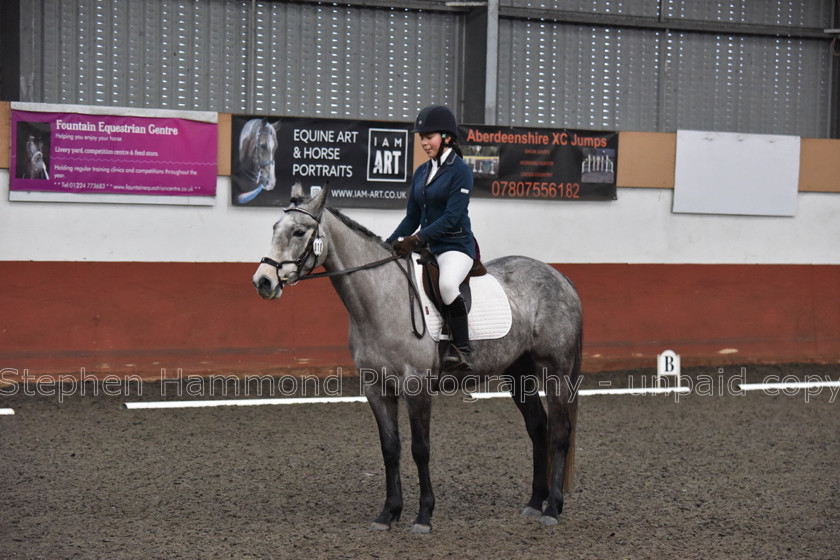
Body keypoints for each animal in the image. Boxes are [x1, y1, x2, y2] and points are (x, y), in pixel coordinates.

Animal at [254, 186, 584, 532]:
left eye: (299, 232)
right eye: (274, 228)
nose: (263, 281)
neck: (380, 300)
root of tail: (558, 275)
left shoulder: (416, 387)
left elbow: (420, 449)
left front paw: (424, 515)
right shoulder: (376, 388)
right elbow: (390, 449)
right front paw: (388, 513)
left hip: (556, 371)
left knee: (560, 432)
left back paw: (552, 508)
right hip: (519, 372)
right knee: (538, 427)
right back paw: (535, 502)